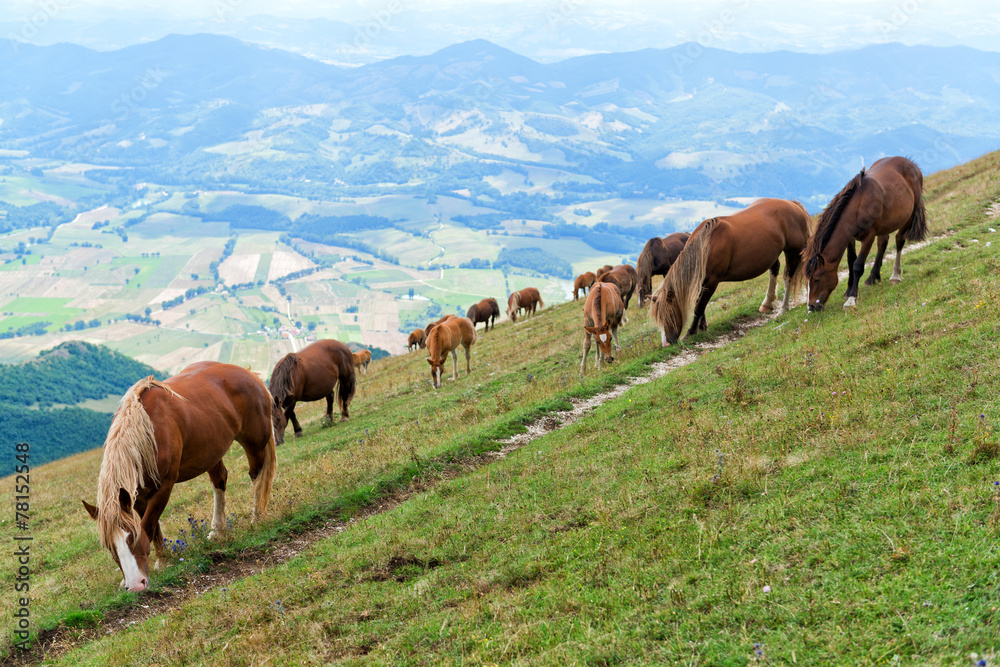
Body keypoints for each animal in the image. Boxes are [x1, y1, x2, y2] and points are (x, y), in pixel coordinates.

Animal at [81, 362, 276, 592]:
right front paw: (162, 559)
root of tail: (249, 373)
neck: (147, 432)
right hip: (211, 451)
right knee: (219, 481)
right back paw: (217, 530)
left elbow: (148, 525)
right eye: (110, 547)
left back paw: (256, 517)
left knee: (257, 477)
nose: (135, 585)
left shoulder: (164, 487)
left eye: (133, 539)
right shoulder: (138, 497)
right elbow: (153, 527)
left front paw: (161, 562)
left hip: (254, 443)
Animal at [648, 197, 812, 344]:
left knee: (788, 277)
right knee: (774, 270)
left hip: (793, 251)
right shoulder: (702, 282)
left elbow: (699, 307)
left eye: (669, 314)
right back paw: (767, 303)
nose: (667, 343)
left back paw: (784, 308)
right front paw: (702, 327)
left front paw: (691, 332)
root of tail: (792, 204)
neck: (704, 246)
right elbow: (700, 305)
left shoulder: (712, 281)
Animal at [800, 157, 924, 314]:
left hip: (909, 216)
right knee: (883, 244)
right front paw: (849, 290)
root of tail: (912, 164)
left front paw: (851, 299)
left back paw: (895, 275)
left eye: (817, 279)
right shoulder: (849, 238)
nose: (811, 306)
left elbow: (857, 265)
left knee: (899, 241)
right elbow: (850, 260)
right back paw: (873, 277)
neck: (858, 206)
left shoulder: (868, 237)